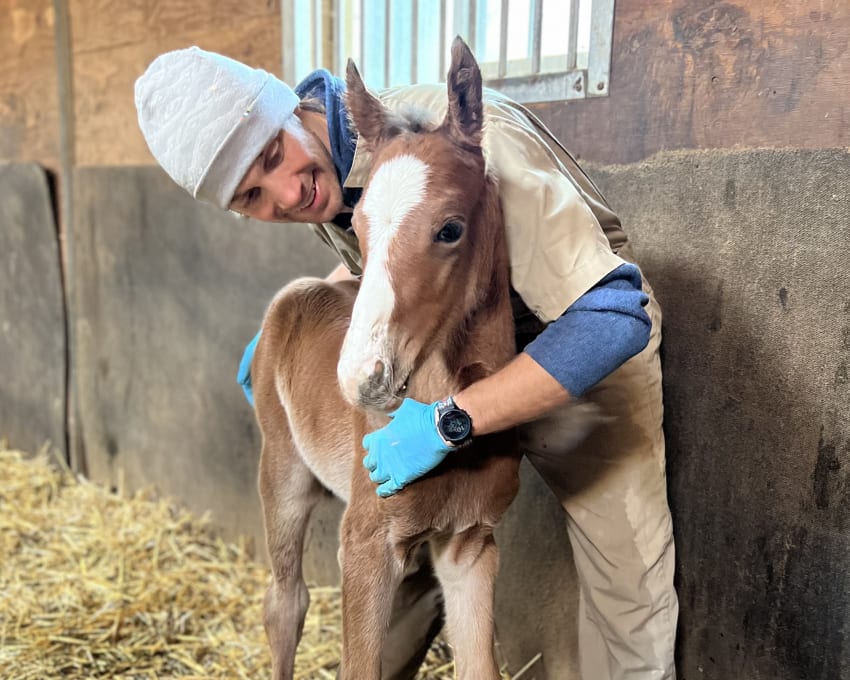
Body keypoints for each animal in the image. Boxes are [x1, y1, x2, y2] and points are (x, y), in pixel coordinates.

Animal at [248, 38, 520, 680]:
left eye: (450, 229)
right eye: (360, 224)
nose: (362, 378)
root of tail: (294, 293)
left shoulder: (471, 543)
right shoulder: (367, 543)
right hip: (282, 469)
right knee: (285, 601)